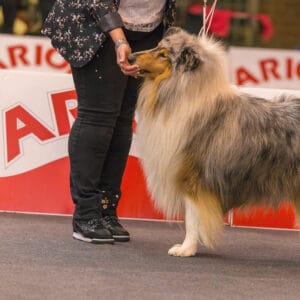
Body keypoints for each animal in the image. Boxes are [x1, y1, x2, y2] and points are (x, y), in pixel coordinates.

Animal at [129, 27, 300, 256]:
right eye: (156, 46)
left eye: (164, 54)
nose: (130, 56)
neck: (181, 92)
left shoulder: (193, 179)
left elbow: (192, 220)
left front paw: (186, 249)